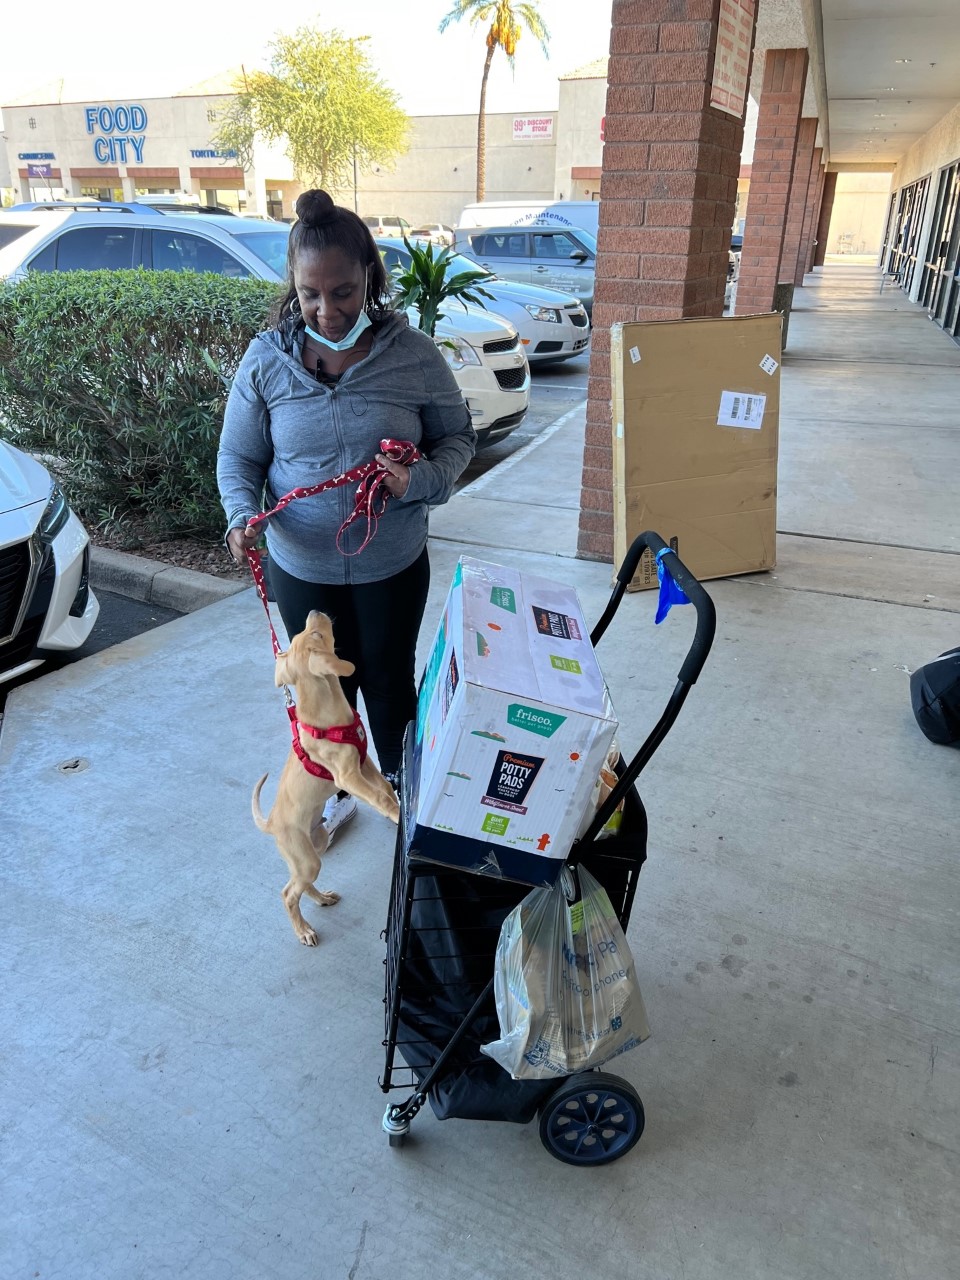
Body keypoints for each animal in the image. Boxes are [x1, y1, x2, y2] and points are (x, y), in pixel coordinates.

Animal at [253, 604, 399, 947]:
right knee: (287, 894)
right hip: (306, 858)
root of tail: (272, 823)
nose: (314, 610)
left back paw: (321, 899)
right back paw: (304, 930)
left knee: (296, 885)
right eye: (318, 635)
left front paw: (397, 801)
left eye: (306, 633)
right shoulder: (347, 776)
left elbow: (384, 787)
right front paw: (397, 814)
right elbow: (377, 796)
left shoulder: (364, 761)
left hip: (314, 845)